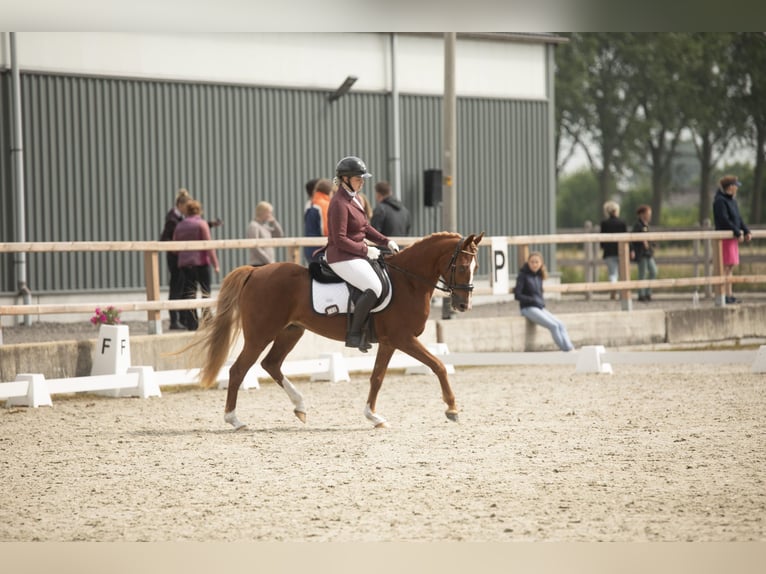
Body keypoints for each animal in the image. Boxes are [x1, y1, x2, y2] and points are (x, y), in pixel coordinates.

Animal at [189, 232, 484, 430]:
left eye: (476, 267)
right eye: (460, 267)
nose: (463, 305)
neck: (408, 282)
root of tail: (255, 271)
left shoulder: (390, 342)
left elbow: (377, 378)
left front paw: (373, 416)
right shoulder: (403, 338)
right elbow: (439, 366)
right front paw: (452, 408)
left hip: (291, 331)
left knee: (271, 364)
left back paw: (300, 407)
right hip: (261, 335)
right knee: (239, 370)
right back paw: (234, 419)